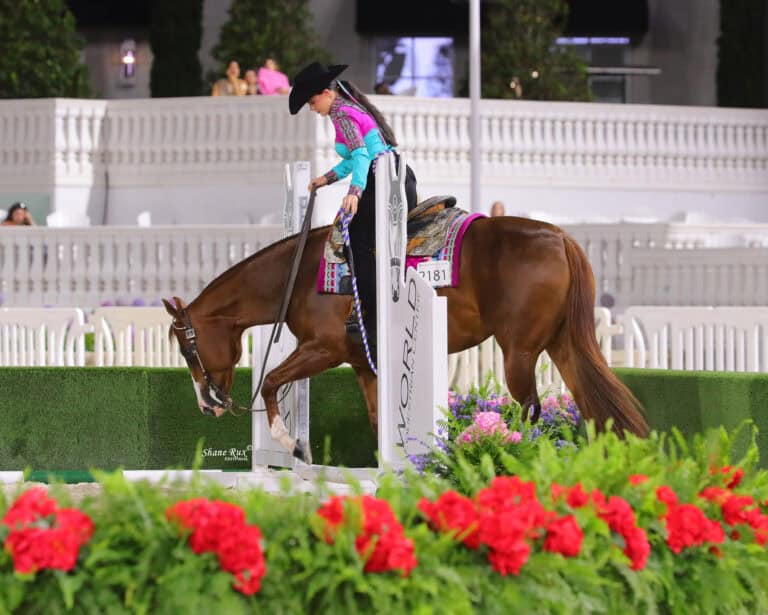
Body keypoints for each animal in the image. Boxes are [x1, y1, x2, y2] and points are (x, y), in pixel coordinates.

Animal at [163, 215, 649, 463]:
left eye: (188, 348)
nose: (207, 406)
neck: (298, 276)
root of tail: (559, 236)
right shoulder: (364, 365)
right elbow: (380, 421)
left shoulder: (321, 349)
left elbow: (269, 381)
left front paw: (291, 443)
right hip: (562, 345)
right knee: (594, 404)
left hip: (520, 352)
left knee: (530, 409)